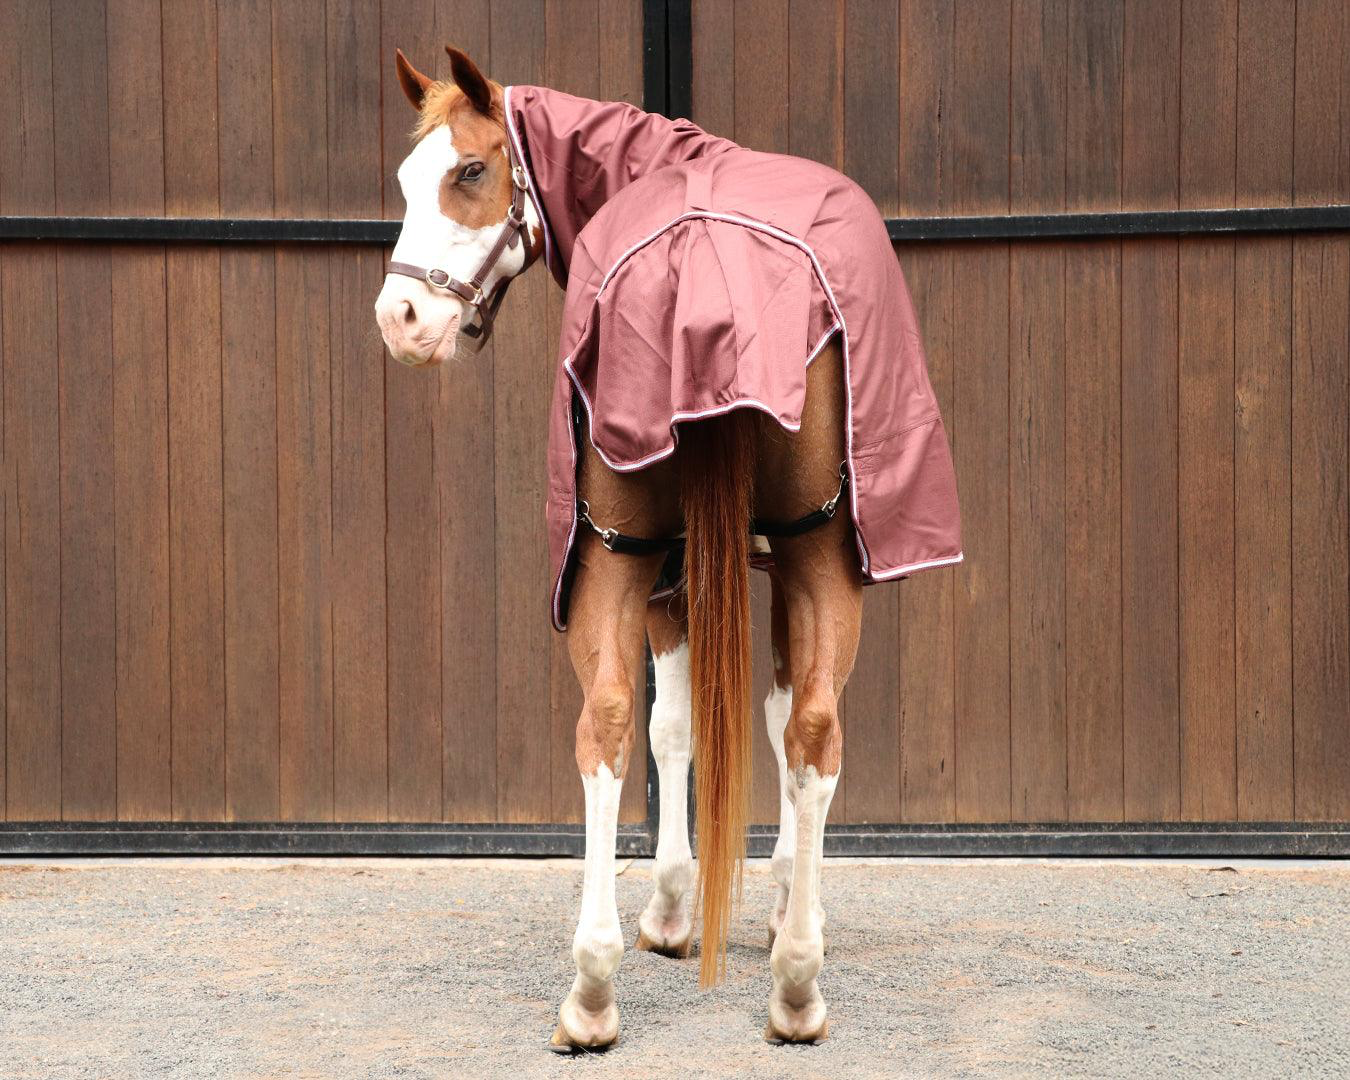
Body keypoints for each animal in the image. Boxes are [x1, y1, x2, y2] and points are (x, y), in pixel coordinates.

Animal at [374, 47, 963, 1051]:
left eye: (471, 171)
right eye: (412, 178)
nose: (401, 317)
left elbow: (695, 723)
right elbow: (723, 720)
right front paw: (725, 906)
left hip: (634, 550)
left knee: (640, 721)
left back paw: (628, 986)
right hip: (771, 553)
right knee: (789, 729)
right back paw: (770, 980)